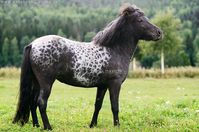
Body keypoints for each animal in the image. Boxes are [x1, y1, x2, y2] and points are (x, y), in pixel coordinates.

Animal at [12, 3, 162, 129]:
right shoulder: (115, 84)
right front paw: (117, 126)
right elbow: (115, 106)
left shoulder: (102, 86)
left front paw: (92, 125)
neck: (114, 50)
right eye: (140, 20)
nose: (159, 33)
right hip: (46, 82)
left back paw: (37, 125)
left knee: (32, 102)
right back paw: (48, 127)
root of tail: (33, 44)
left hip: (36, 82)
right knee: (41, 102)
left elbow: (98, 105)